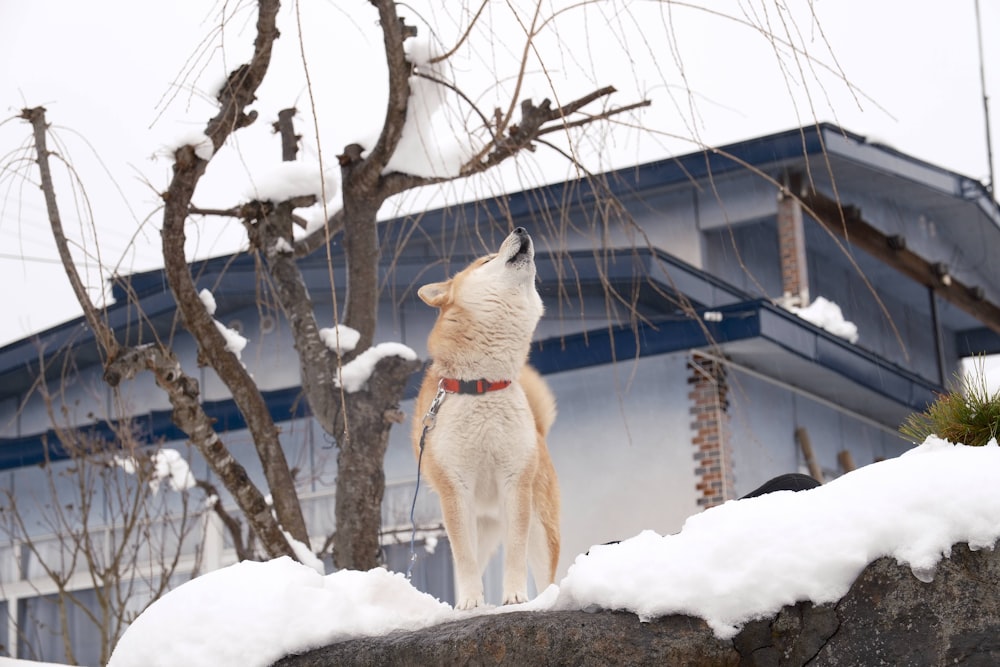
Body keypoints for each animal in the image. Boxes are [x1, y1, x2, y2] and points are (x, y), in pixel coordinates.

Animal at [410, 226, 560, 612]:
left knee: (546, 571)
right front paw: (470, 603)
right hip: (480, 523)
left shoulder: (515, 482)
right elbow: (464, 558)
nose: (520, 229)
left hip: (539, 522)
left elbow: (516, 553)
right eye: (486, 260)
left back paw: (547, 596)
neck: (483, 384)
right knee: (473, 558)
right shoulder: (455, 488)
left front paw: (516, 596)